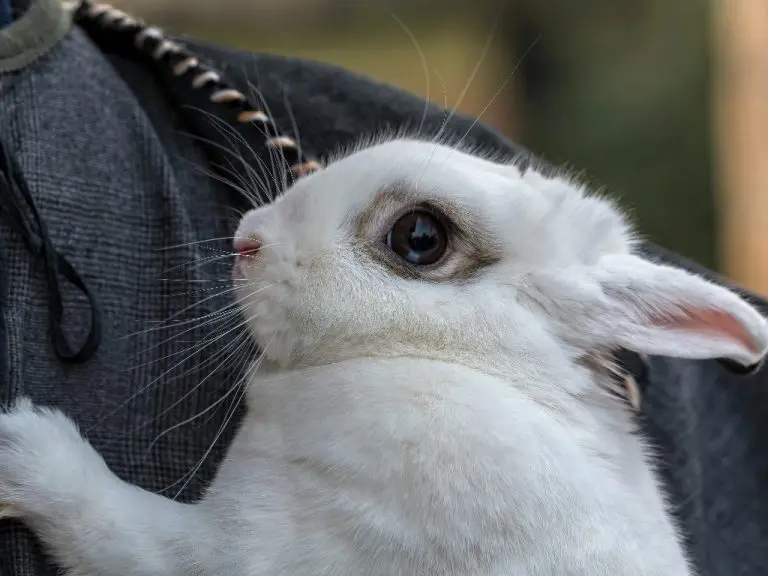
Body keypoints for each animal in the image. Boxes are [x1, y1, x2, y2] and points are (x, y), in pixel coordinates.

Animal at [1, 137, 768, 572]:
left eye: (419, 238)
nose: (249, 239)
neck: (443, 359)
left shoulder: (254, 549)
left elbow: (118, 526)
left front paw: (23, 448)